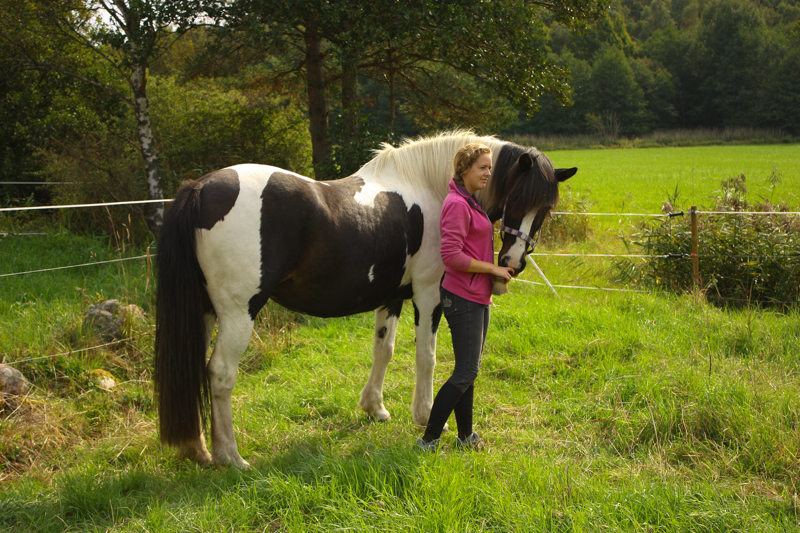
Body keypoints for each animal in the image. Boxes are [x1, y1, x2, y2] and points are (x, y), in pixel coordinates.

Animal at [154, 131, 577, 468]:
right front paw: (425, 416)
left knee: (193, 368)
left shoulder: (390, 297)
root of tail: (199, 189)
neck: (431, 187)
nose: (512, 263)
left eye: (546, 207)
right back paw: (231, 457)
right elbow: (427, 356)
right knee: (220, 374)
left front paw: (375, 408)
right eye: (516, 197)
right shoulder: (428, 293)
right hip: (239, 313)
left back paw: (198, 449)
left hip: (204, 312)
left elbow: (383, 350)